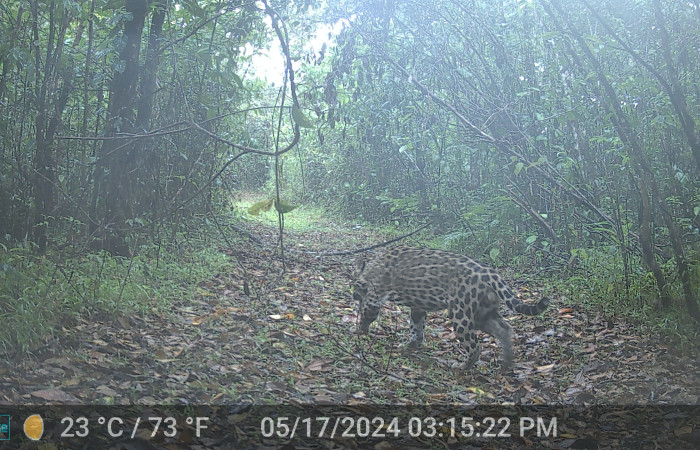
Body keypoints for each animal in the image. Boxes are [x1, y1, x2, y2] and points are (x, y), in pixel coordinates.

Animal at [352, 245, 550, 371]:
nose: (354, 295)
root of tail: (491, 274)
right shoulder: (418, 307)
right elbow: (417, 326)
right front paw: (412, 344)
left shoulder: (374, 297)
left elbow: (367, 315)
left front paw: (360, 331)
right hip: (481, 314)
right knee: (504, 329)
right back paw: (506, 363)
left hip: (460, 313)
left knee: (475, 346)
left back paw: (462, 367)